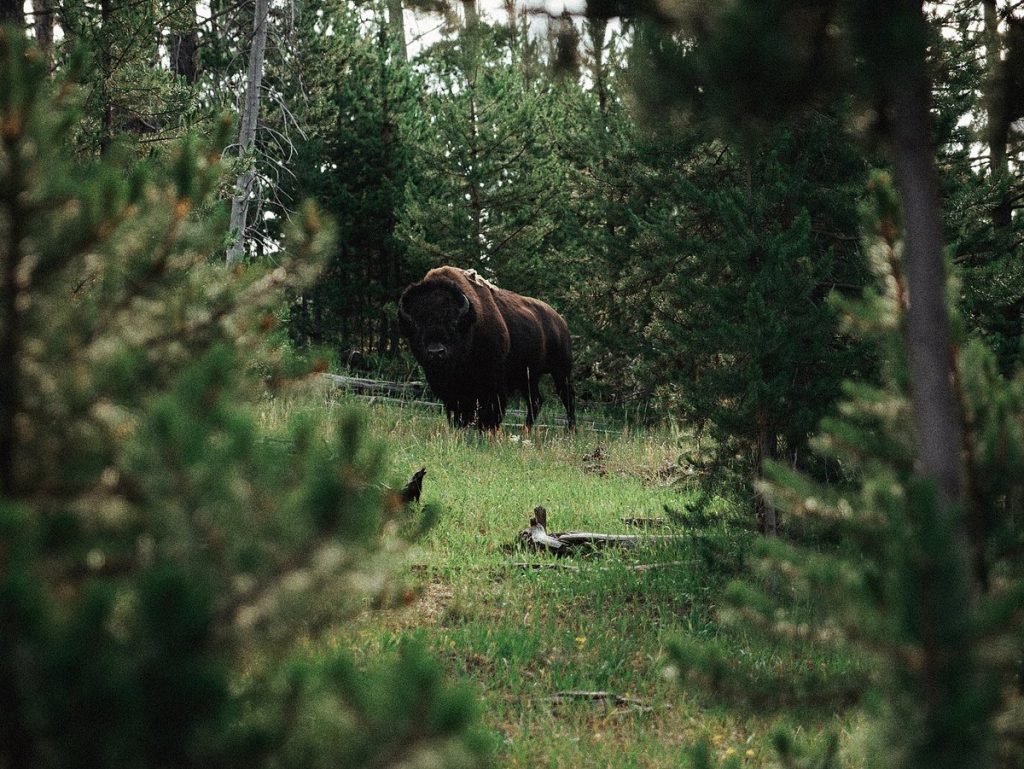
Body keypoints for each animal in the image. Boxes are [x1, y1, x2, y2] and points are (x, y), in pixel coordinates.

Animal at [397, 268, 577, 430]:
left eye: (453, 324)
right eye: (416, 326)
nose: (436, 352)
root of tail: (559, 320)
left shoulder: (494, 384)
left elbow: (491, 413)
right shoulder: (450, 391)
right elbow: (458, 413)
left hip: (560, 371)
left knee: (567, 398)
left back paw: (570, 431)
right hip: (528, 377)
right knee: (536, 401)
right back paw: (526, 431)